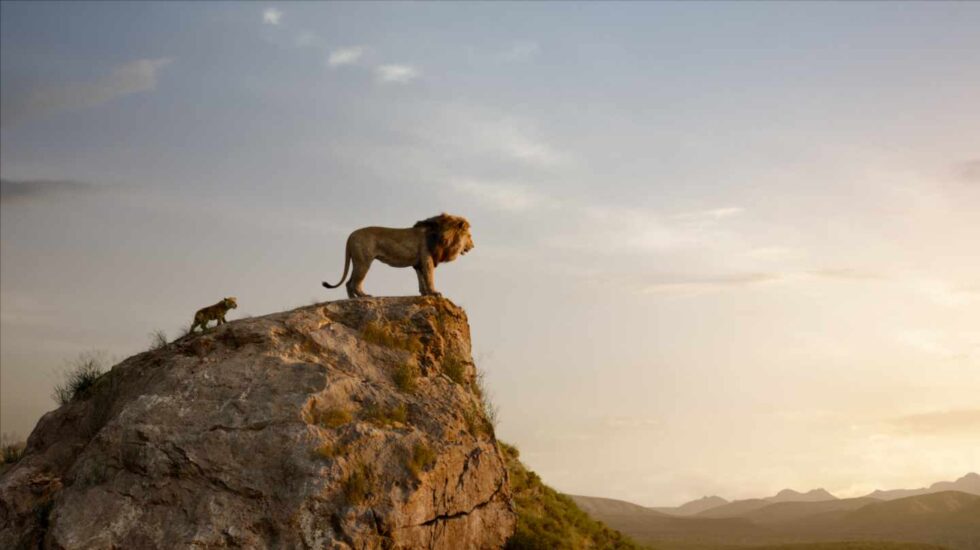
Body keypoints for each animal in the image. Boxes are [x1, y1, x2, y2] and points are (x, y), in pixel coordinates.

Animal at [322, 216, 474, 302]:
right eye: (469, 236)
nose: (473, 246)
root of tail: (350, 236)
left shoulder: (419, 263)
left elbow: (421, 279)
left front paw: (425, 294)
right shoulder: (427, 259)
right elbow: (429, 277)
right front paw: (434, 293)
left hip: (357, 261)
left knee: (349, 283)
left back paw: (352, 299)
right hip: (364, 261)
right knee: (355, 283)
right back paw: (364, 296)